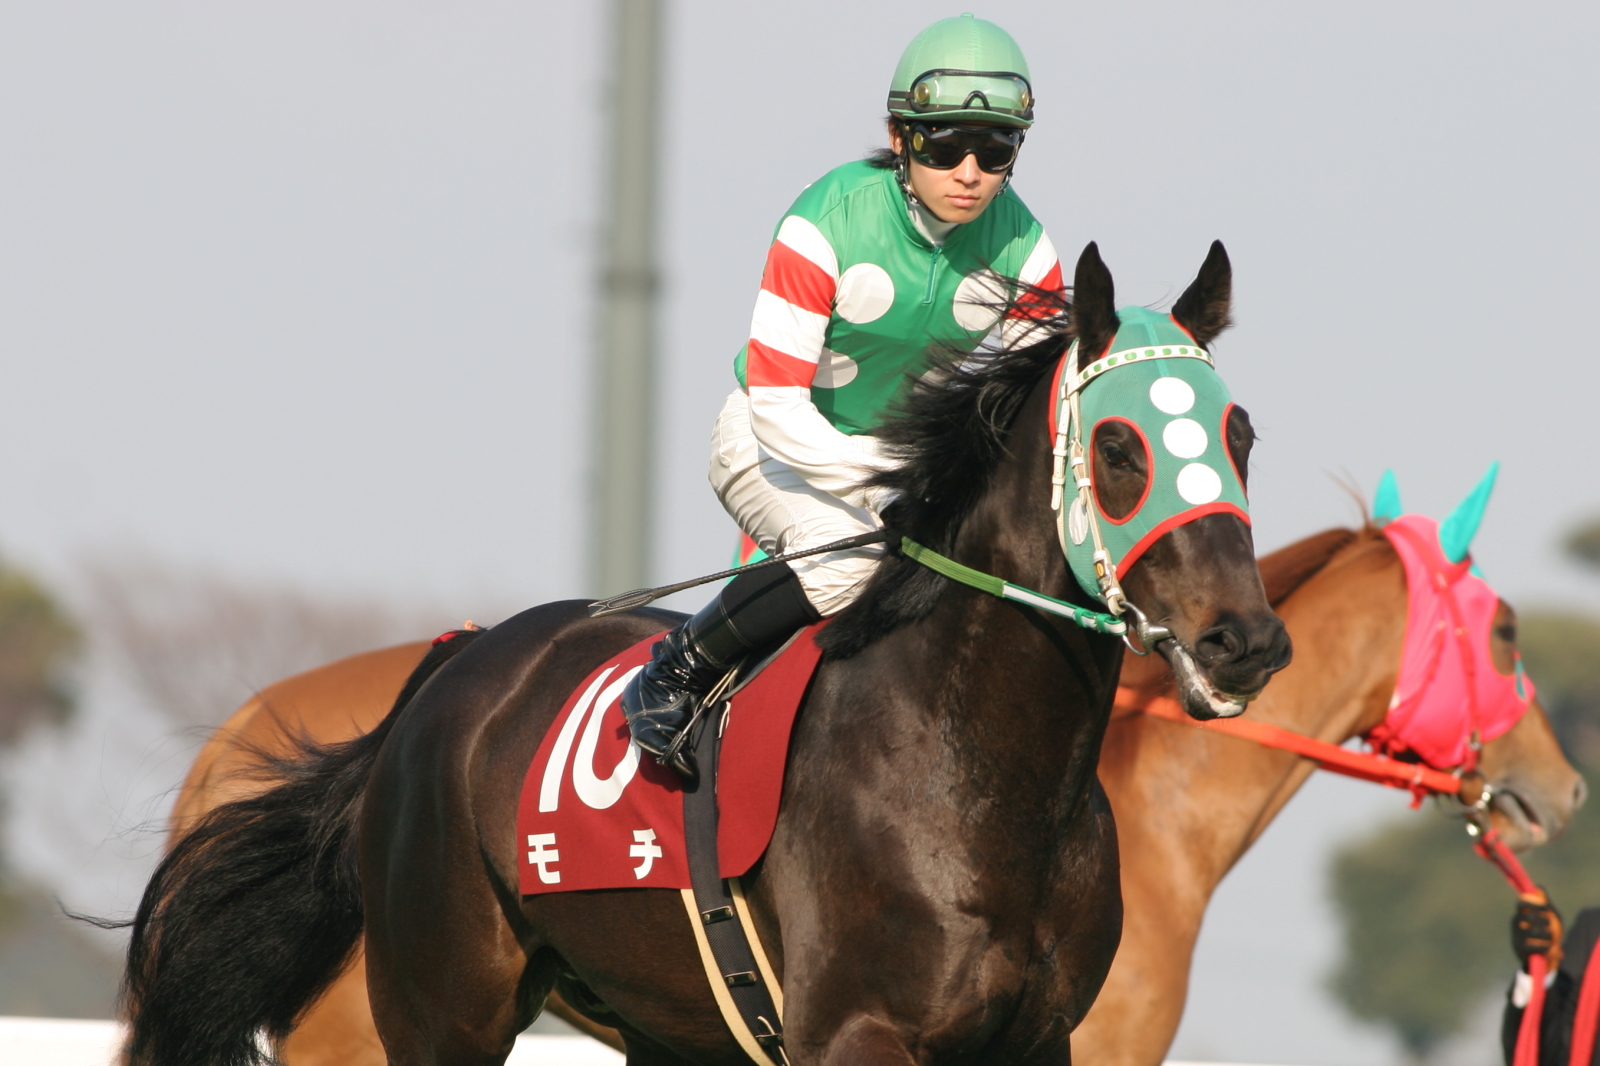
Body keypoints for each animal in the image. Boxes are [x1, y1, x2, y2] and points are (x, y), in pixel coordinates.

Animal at [123, 241, 1293, 1066]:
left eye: (1238, 435)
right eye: (1119, 449)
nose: (1245, 640)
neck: (975, 776)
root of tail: (451, 670)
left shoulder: (1037, 1039)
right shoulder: (858, 1034)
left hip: (659, 1022)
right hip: (437, 1008)